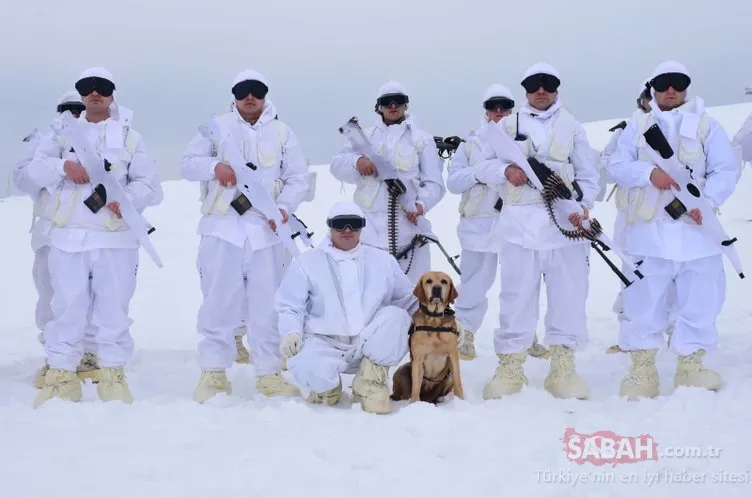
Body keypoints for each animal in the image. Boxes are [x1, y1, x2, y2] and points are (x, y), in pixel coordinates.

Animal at [388, 270, 464, 402]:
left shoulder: (453, 356)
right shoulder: (418, 359)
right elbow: (416, 387)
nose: (437, 288)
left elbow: (458, 381)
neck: (434, 321)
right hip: (401, 371)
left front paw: (461, 400)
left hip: (446, 378)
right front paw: (415, 403)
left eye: (444, 281)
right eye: (429, 281)